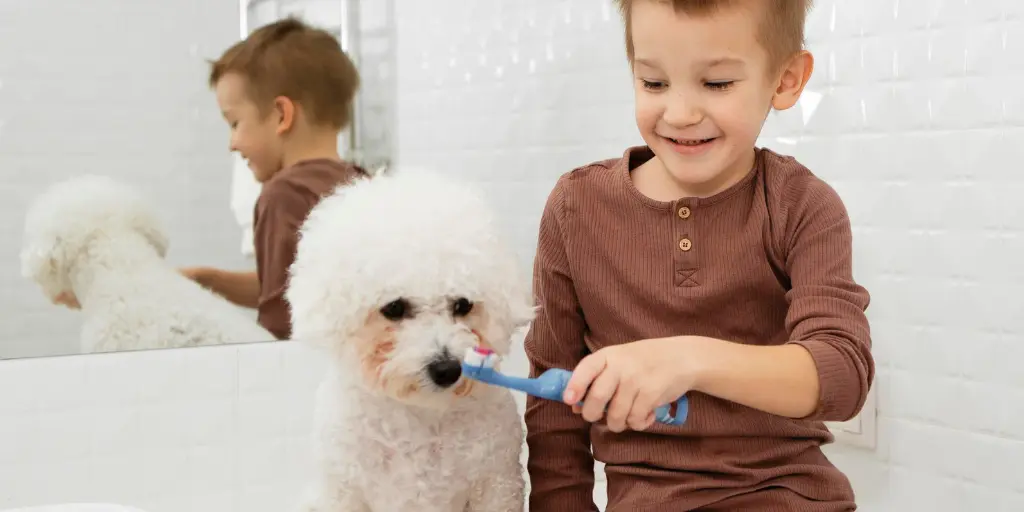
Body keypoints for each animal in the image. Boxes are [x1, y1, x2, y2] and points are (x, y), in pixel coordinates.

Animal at [284, 169, 532, 509]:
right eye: (394, 308)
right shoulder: (344, 489)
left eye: (463, 305)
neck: (420, 415)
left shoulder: (496, 483)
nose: (447, 370)